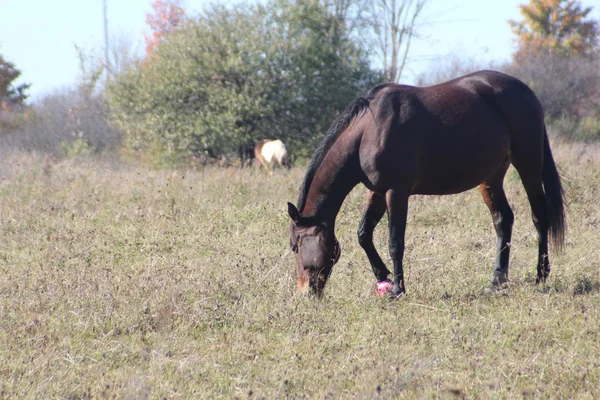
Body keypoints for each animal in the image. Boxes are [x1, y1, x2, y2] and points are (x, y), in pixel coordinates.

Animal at [288, 70, 564, 296]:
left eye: (294, 246)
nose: (304, 292)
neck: (370, 130)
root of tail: (528, 92)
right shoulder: (376, 193)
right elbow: (363, 234)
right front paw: (383, 278)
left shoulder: (396, 193)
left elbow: (395, 243)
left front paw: (397, 289)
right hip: (491, 177)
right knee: (503, 219)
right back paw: (497, 280)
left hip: (528, 165)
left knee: (540, 216)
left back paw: (541, 275)